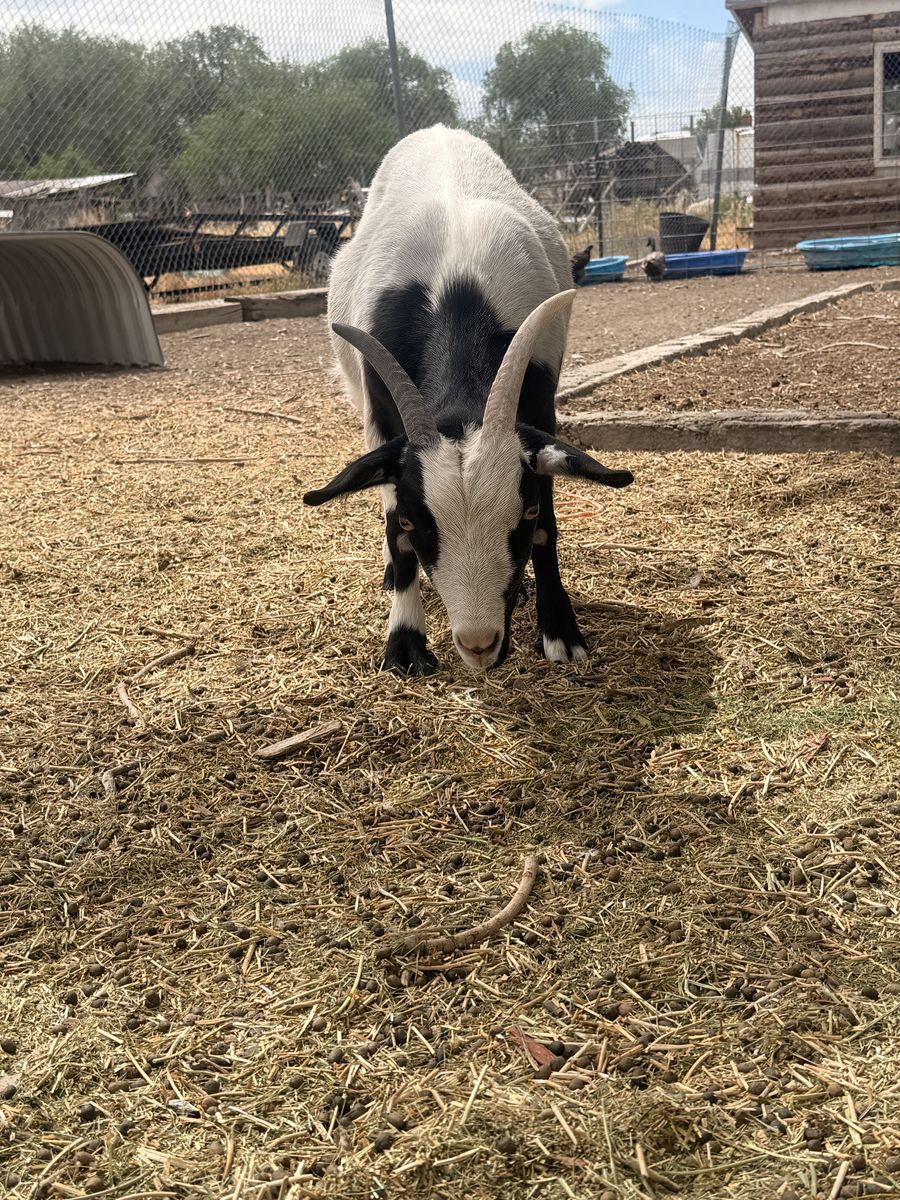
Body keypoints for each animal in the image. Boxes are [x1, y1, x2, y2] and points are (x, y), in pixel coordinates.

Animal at [304, 126, 633, 675]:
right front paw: (406, 645)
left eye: (525, 513)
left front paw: (560, 630)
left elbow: (550, 526)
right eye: (415, 520)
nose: (479, 645)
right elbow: (392, 525)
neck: (456, 294)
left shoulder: (540, 402)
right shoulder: (381, 417)